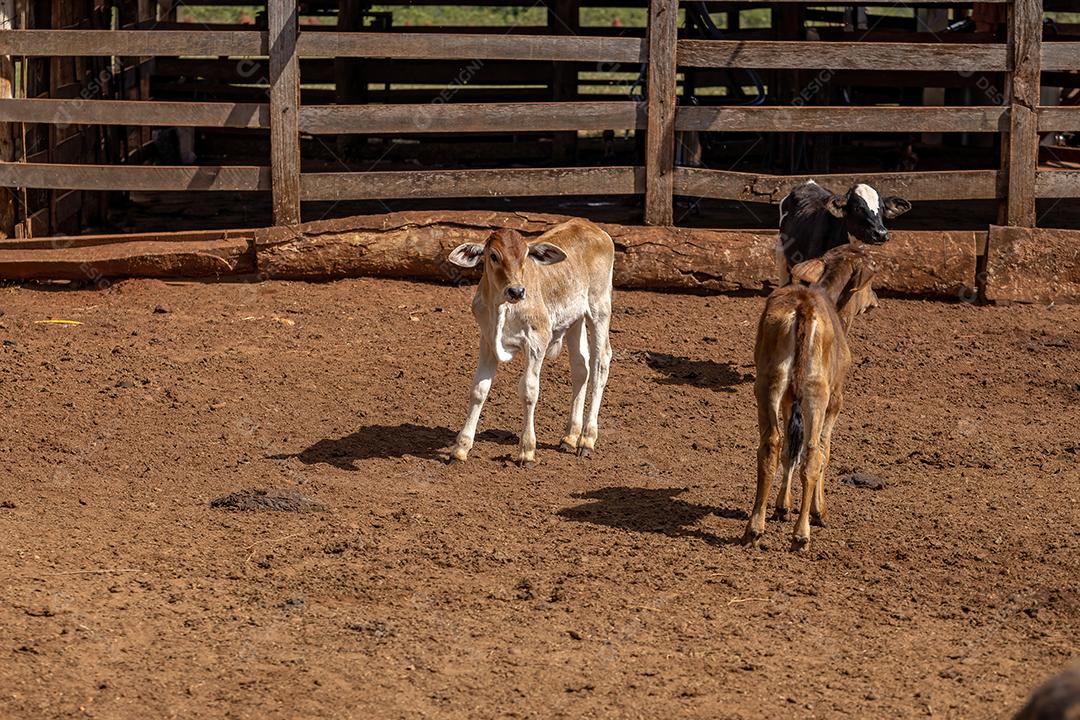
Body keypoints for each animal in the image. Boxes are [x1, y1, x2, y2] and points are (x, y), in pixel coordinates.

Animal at [445, 219, 615, 467]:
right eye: (493, 256)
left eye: (526, 255)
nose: (516, 291)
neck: (502, 307)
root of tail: (590, 225)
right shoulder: (487, 341)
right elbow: (478, 390)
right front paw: (461, 448)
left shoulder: (537, 340)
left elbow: (529, 390)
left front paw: (527, 450)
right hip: (576, 318)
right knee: (580, 367)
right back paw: (570, 436)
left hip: (599, 307)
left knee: (600, 363)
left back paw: (587, 439)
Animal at [743, 244, 878, 551]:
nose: (874, 301)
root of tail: (803, 306)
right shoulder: (836, 399)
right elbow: (823, 450)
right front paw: (819, 510)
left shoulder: (788, 399)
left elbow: (790, 450)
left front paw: (782, 506)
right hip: (818, 391)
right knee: (814, 451)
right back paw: (801, 534)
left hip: (768, 383)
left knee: (772, 443)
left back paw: (755, 529)